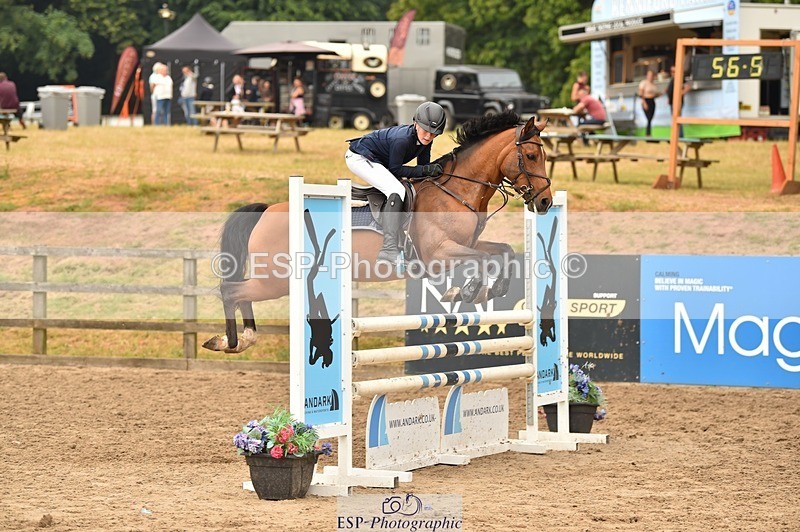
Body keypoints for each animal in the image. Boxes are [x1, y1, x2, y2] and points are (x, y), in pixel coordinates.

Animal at [203, 111, 551, 353]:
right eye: (531, 156)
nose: (545, 201)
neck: (456, 191)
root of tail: (265, 211)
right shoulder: (438, 254)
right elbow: (481, 261)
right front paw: (466, 292)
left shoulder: (470, 243)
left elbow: (503, 252)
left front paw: (488, 291)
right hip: (275, 280)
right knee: (231, 291)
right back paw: (231, 342)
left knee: (238, 293)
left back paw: (242, 339)